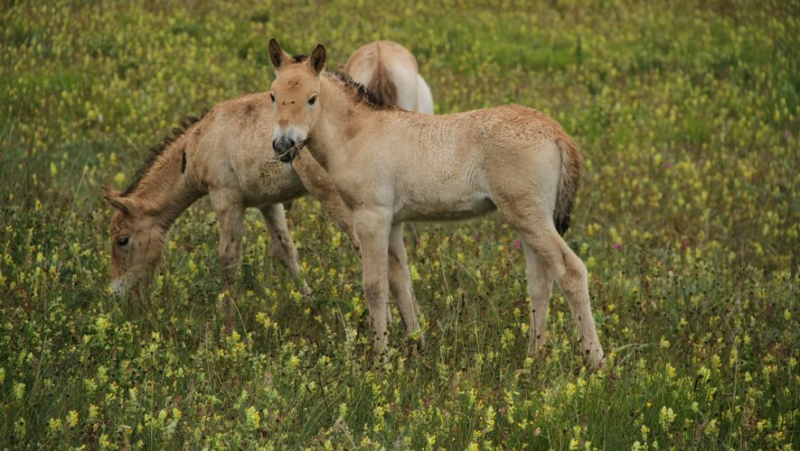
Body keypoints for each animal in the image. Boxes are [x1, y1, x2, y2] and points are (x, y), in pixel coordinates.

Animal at [104, 93, 360, 298]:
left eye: (122, 240)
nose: (117, 293)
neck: (197, 144)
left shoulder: (225, 198)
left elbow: (228, 260)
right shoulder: (268, 203)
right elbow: (286, 251)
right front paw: (309, 301)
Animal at [266, 40, 604, 370]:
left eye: (312, 98)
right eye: (273, 95)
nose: (283, 145)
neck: (358, 134)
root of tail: (556, 131)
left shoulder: (370, 215)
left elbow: (375, 285)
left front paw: (380, 359)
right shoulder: (393, 221)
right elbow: (400, 281)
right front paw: (417, 346)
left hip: (529, 215)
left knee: (571, 271)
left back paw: (595, 361)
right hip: (529, 218)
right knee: (540, 280)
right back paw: (534, 357)